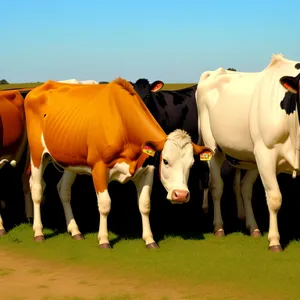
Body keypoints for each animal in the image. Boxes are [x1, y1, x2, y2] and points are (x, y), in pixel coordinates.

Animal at [25, 78, 213, 248]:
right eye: (165, 161)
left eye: (191, 164)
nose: (180, 195)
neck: (123, 123)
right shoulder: (98, 168)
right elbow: (105, 204)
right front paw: (104, 240)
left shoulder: (147, 170)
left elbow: (145, 205)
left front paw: (149, 240)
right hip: (38, 154)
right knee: (37, 188)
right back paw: (38, 232)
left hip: (69, 159)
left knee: (63, 189)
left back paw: (75, 230)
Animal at [197, 54, 300, 251]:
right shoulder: (266, 154)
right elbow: (274, 198)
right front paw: (274, 241)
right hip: (214, 147)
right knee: (217, 186)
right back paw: (219, 227)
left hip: (252, 155)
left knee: (245, 188)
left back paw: (254, 228)